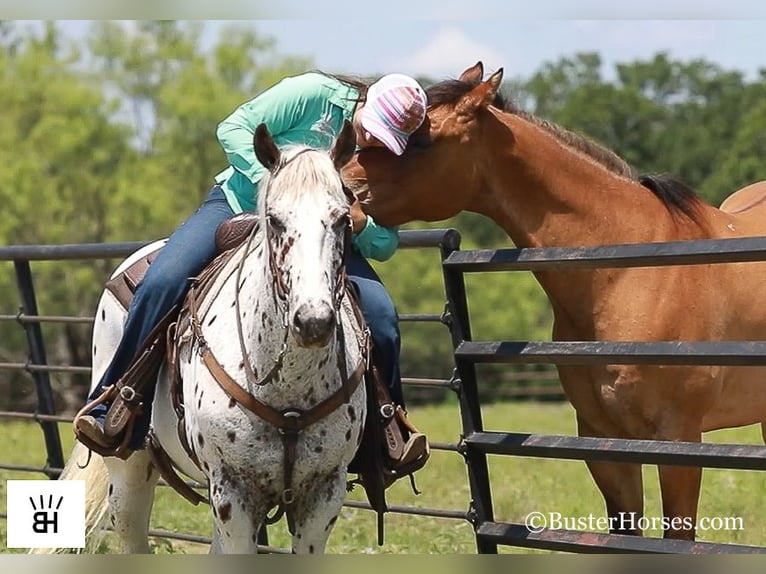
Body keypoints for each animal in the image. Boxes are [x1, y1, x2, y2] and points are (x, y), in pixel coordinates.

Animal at [45, 120, 368, 552]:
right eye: (274, 220)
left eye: (342, 219)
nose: (313, 321)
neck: (289, 389)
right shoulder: (232, 490)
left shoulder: (324, 494)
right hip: (128, 472)